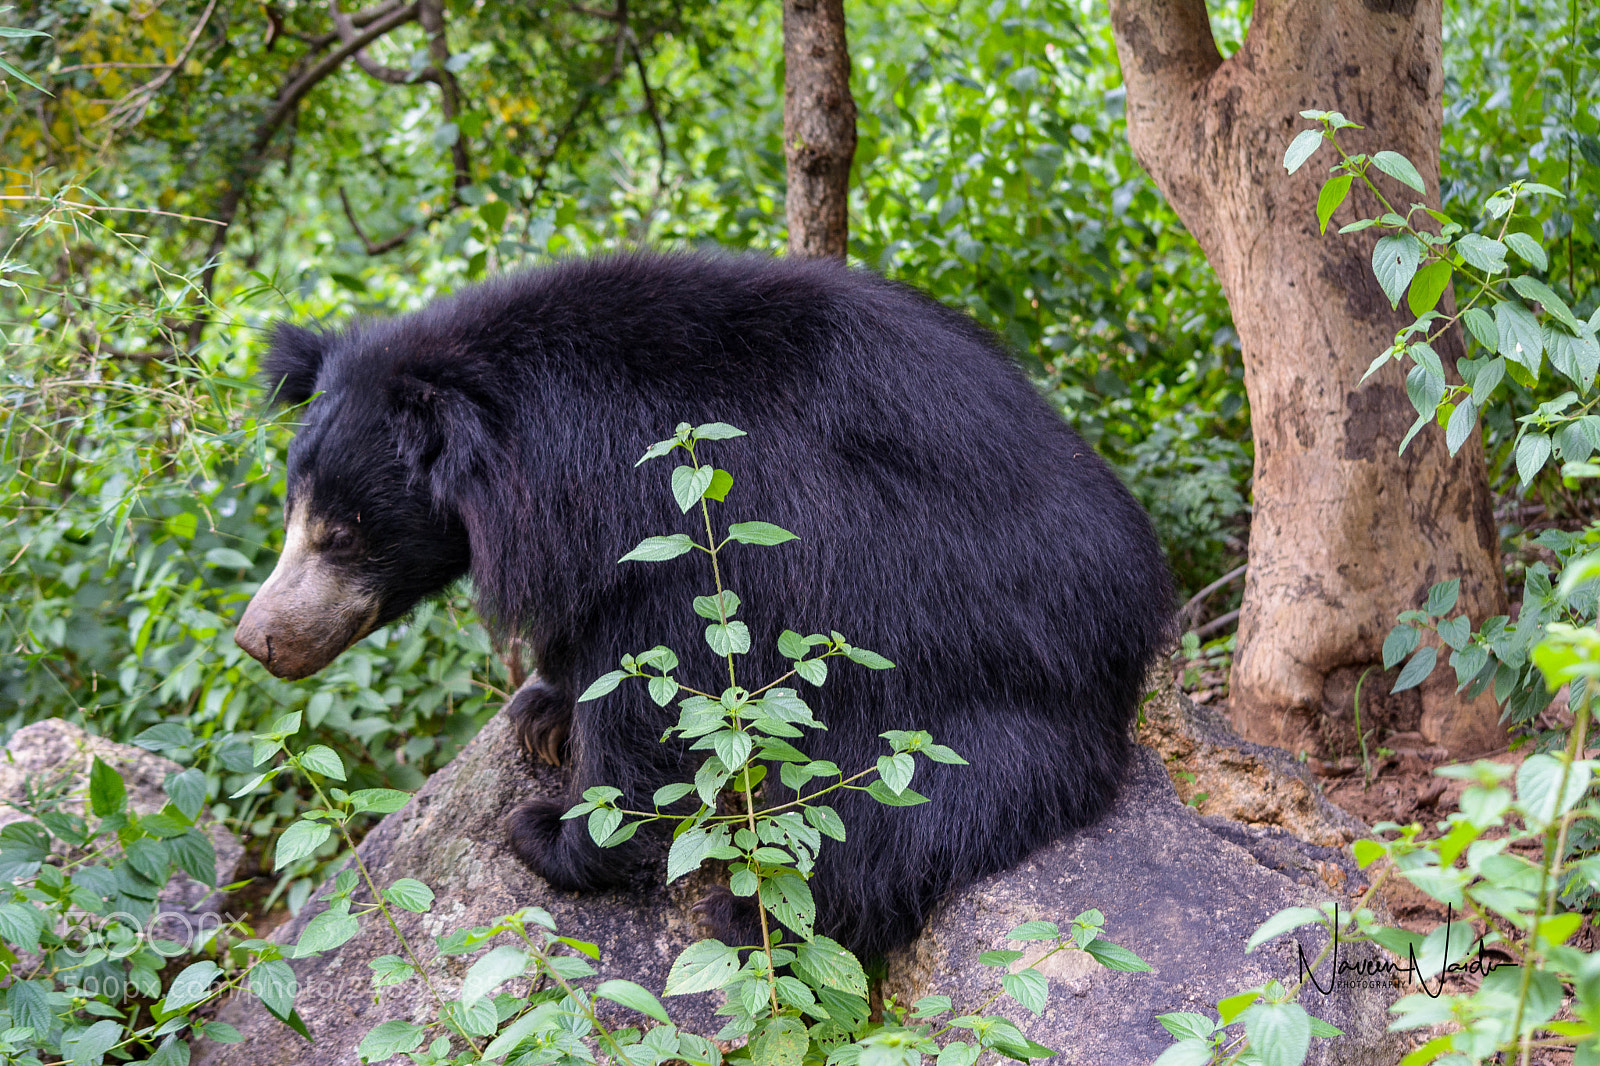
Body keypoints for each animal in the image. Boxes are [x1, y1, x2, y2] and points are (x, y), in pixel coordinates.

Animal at [233, 250, 1173, 960]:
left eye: (342, 535)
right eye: (288, 514)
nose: (258, 640)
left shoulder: (677, 524)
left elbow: (649, 695)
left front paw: (552, 832)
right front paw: (542, 711)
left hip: (959, 681)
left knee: (895, 825)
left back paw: (749, 919)